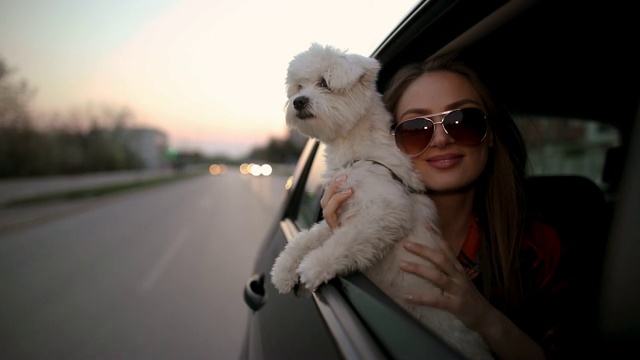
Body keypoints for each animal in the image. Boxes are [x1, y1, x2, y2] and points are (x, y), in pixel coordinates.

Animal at [268, 43, 490, 358]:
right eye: (299, 87)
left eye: (324, 83)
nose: (298, 101)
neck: (359, 152)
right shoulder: (343, 206)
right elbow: (307, 238)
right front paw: (284, 268)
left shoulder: (385, 211)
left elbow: (343, 242)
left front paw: (312, 268)